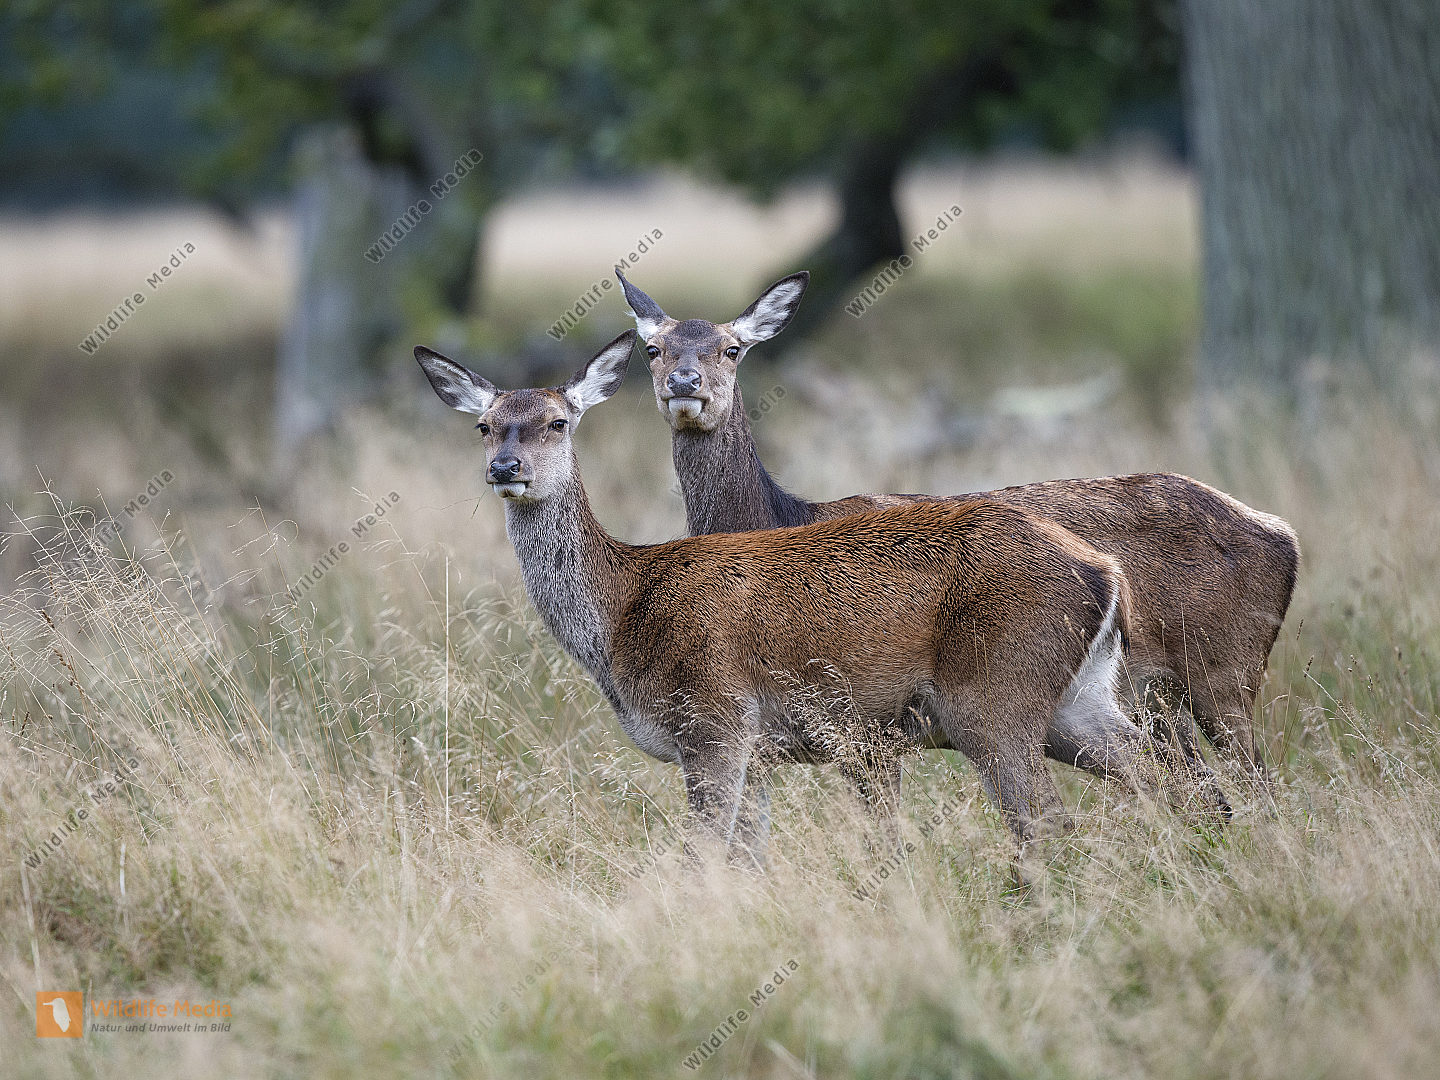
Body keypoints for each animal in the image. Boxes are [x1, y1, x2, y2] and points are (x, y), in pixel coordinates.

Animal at [415, 330, 1227, 874]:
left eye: (558, 421)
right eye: (484, 424)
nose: (504, 466)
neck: (620, 619)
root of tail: (1105, 571)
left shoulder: (714, 722)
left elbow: (703, 859)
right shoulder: (758, 752)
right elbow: (749, 862)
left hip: (996, 692)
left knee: (1051, 822)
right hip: (1078, 698)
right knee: (1171, 779)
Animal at [615, 269, 1300, 796]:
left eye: (731, 348)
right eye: (655, 349)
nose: (684, 384)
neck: (778, 517)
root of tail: (1282, 533)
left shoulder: (863, 725)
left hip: (1225, 672)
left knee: (1254, 787)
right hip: (1154, 699)